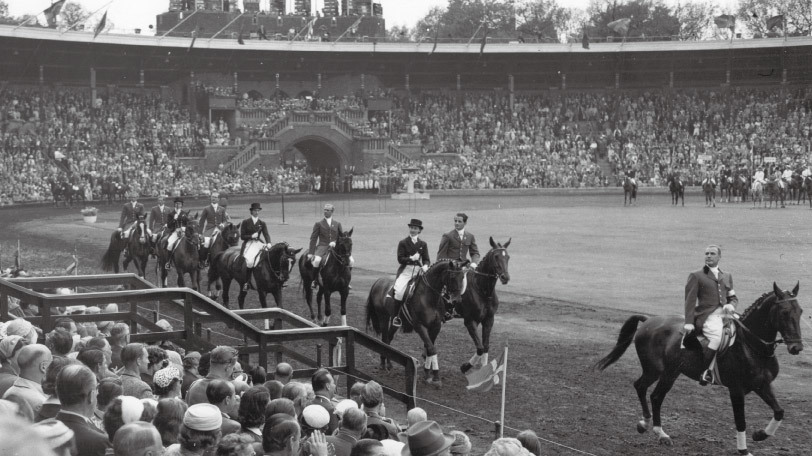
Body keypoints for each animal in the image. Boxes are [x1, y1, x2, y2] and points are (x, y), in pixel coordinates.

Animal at [364, 256, 466, 384]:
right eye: (452, 277)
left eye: (462, 277)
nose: (457, 301)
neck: (429, 297)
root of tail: (379, 281)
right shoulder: (420, 326)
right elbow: (431, 349)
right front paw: (435, 376)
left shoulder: (435, 326)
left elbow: (429, 349)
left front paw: (428, 373)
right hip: (383, 317)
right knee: (384, 339)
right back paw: (383, 364)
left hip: (394, 322)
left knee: (388, 339)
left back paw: (389, 364)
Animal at [454, 239, 510, 374]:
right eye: (496, 256)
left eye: (508, 257)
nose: (505, 277)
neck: (482, 290)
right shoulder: (470, 321)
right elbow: (480, 348)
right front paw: (465, 367)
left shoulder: (488, 319)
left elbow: (485, 346)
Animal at [592, 282, 804, 456]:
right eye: (784, 312)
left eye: (800, 311)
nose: (797, 348)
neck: (752, 346)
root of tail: (649, 320)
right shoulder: (736, 390)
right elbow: (740, 421)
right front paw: (743, 450)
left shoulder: (762, 385)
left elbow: (779, 411)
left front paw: (760, 435)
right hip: (659, 371)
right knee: (648, 392)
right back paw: (656, 430)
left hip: (669, 372)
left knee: (648, 391)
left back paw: (650, 427)